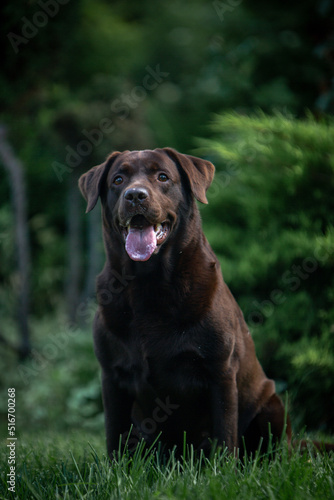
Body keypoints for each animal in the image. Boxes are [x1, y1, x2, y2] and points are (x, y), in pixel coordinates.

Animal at [79, 147, 290, 458]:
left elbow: (225, 434)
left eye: (162, 176)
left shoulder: (220, 371)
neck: (149, 283)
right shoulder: (112, 376)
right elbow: (114, 435)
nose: (135, 195)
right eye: (118, 179)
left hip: (271, 406)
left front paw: (223, 469)